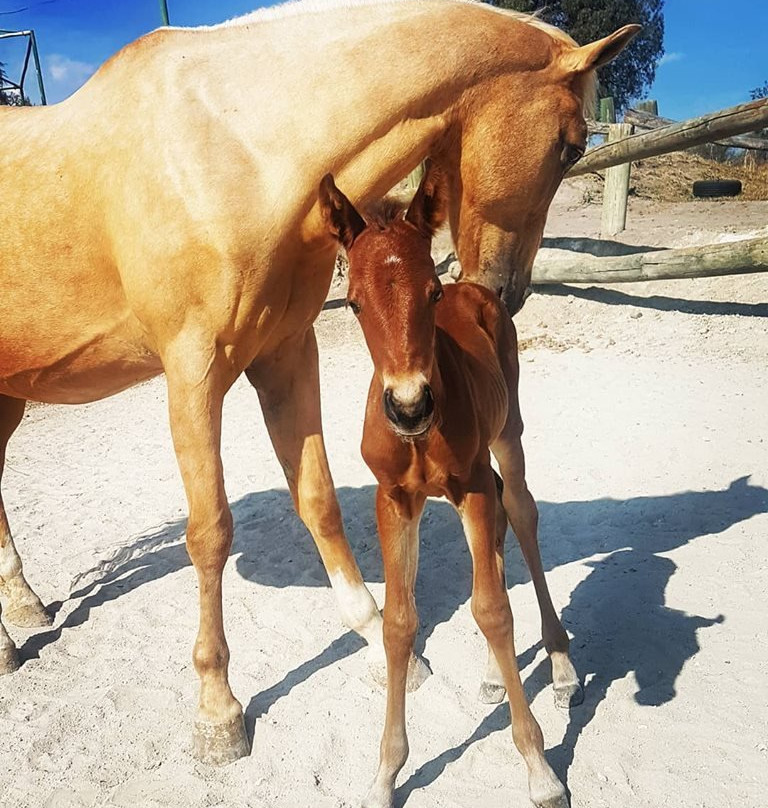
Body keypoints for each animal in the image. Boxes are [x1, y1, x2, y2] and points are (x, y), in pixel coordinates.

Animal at [320, 166, 580, 808]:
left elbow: (493, 609)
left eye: (431, 294)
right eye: (354, 303)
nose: (410, 406)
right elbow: (398, 622)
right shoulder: (394, 499)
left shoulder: (470, 487)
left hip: (508, 435)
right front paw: (385, 775)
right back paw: (493, 675)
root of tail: (477, 288)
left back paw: (562, 666)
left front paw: (539, 768)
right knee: (502, 531)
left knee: (521, 511)